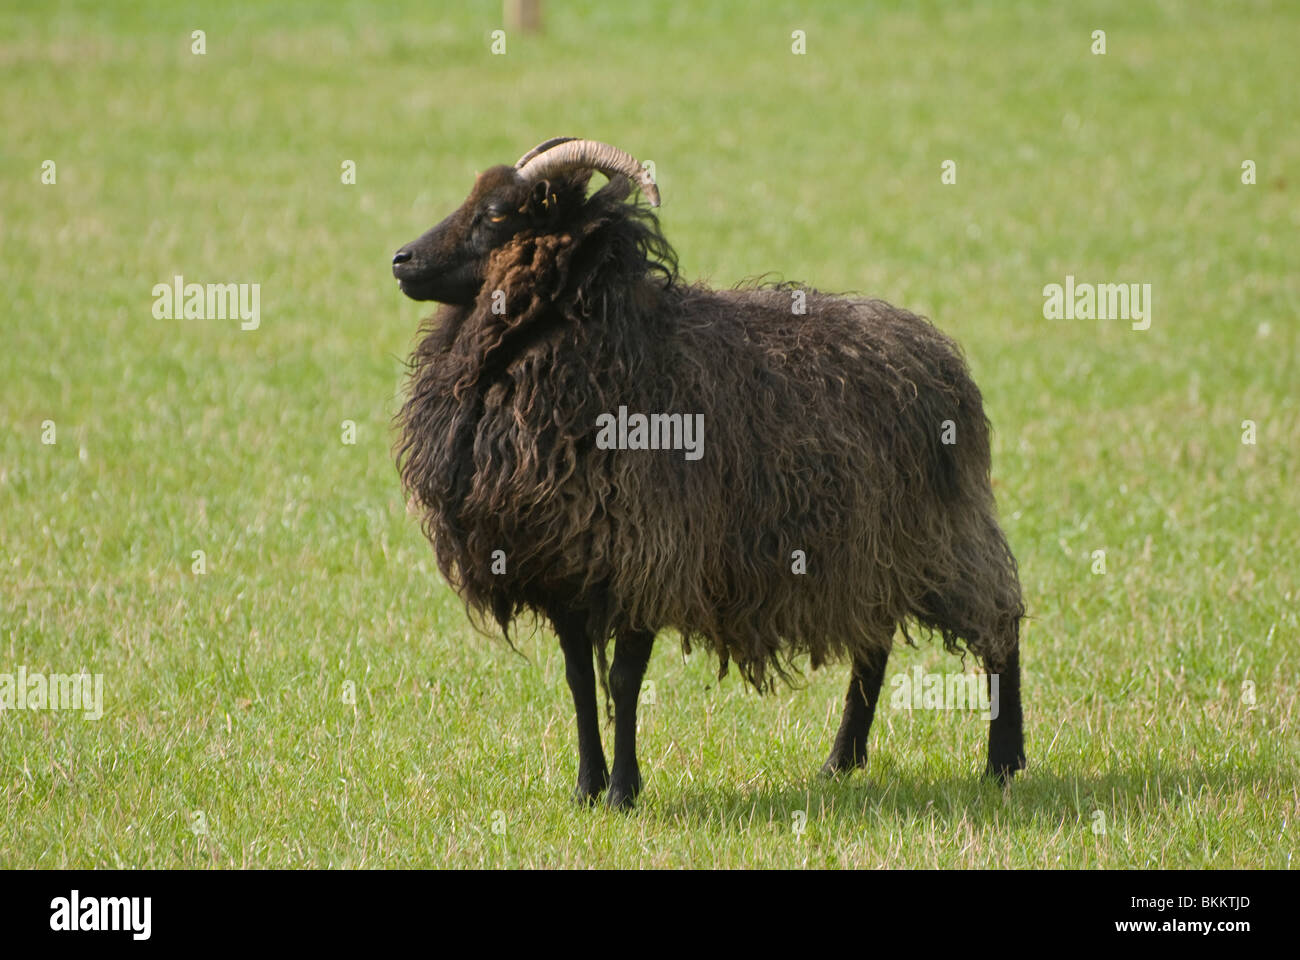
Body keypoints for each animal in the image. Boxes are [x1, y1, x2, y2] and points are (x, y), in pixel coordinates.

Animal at [393, 137, 1025, 809]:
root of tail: (935, 349)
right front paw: (587, 788)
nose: (400, 260)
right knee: (873, 643)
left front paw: (624, 792)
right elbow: (578, 681)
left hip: (939, 531)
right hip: (866, 547)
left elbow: (623, 679)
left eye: (494, 215)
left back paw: (1004, 761)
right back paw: (841, 762)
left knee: (1000, 622)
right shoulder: (561, 565)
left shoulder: (647, 556)